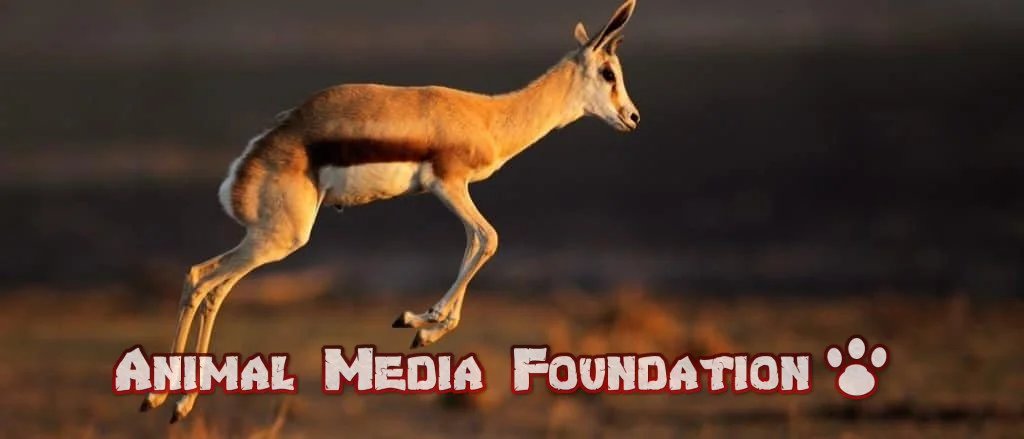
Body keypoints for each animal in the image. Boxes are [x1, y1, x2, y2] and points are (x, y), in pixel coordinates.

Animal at [141, 0, 640, 422]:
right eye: (608, 72)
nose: (633, 118)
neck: (488, 117)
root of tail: (253, 157)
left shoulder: (452, 192)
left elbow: (474, 244)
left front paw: (423, 327)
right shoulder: (448, 186)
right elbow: (488, 240)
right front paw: (422, 321)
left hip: (265, 239)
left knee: (209, 284)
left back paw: (170, 400)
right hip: (280, 239)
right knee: (203, 279)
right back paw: (168, 400)